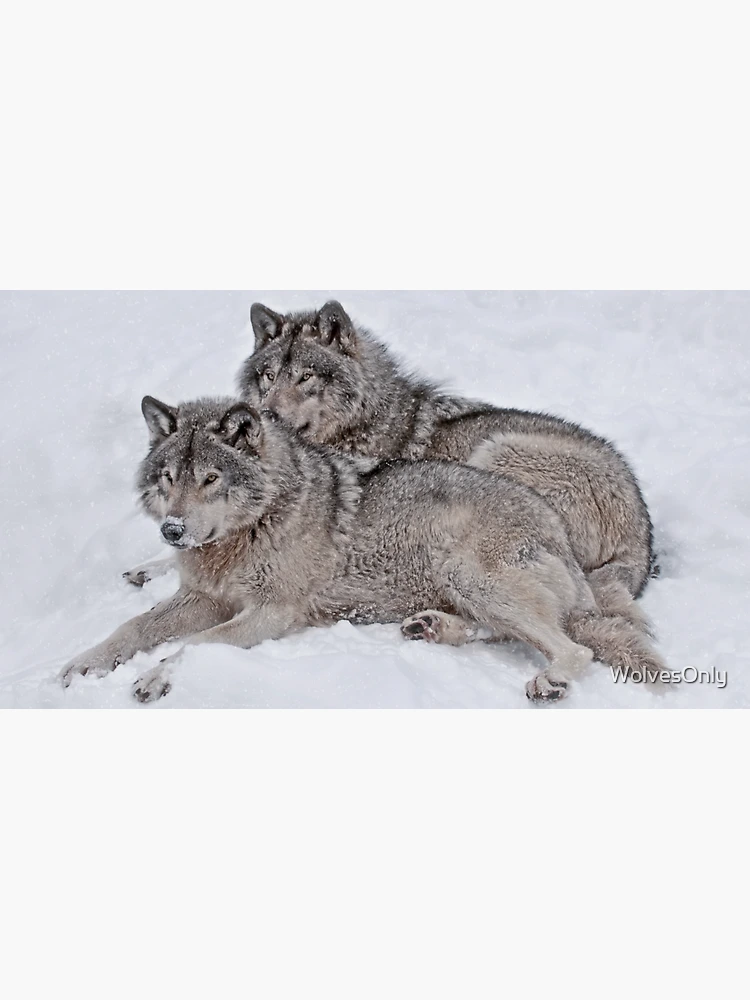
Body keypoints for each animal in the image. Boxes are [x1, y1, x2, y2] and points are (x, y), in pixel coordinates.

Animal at [62, 396, 661, 703]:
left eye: (211, 479)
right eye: (168, 478)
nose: (173, 531)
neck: (256, 525)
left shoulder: (272, 612)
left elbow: (196, 645)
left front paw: (155, 677)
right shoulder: (203, 597)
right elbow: (132, 628)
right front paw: (83, 664)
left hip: (473, 574)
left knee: (573, 649)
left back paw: (547, 680)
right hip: (468, 586)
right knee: (505, 631)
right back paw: (431, 627)